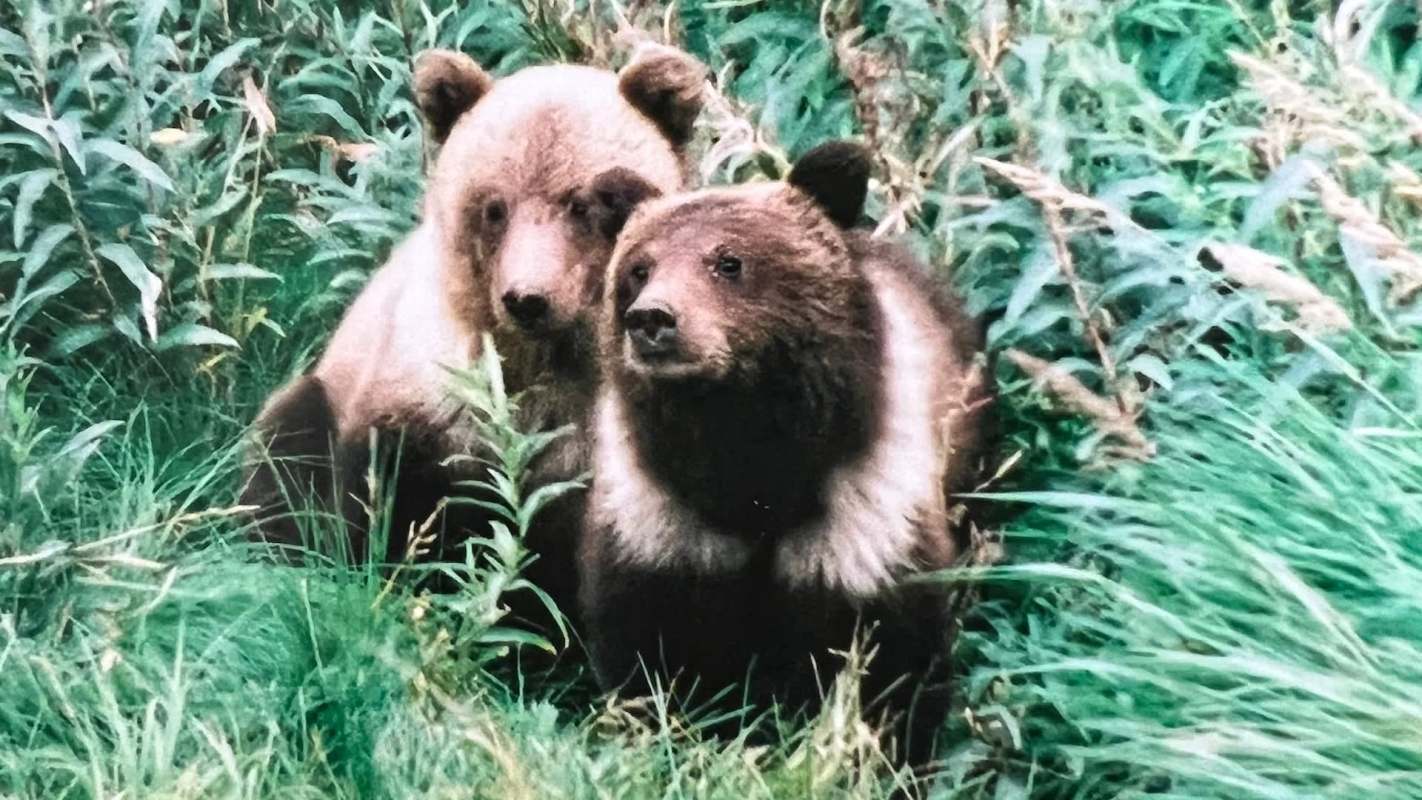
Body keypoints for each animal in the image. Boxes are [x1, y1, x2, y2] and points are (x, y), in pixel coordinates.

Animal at [241, 44, 706, 638]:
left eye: (583, 205)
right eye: (494, 207)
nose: (527, 298)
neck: (544, 360)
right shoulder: (430, 393)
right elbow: (392, 507)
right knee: (283, 457)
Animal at [578, 140, 991, 766]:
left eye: (729, 261)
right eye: (639, 268)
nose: (652, 319)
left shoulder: (863, 520)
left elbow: (893, 658)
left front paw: (883, 752)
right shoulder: (663, 524)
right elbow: (648, 646)